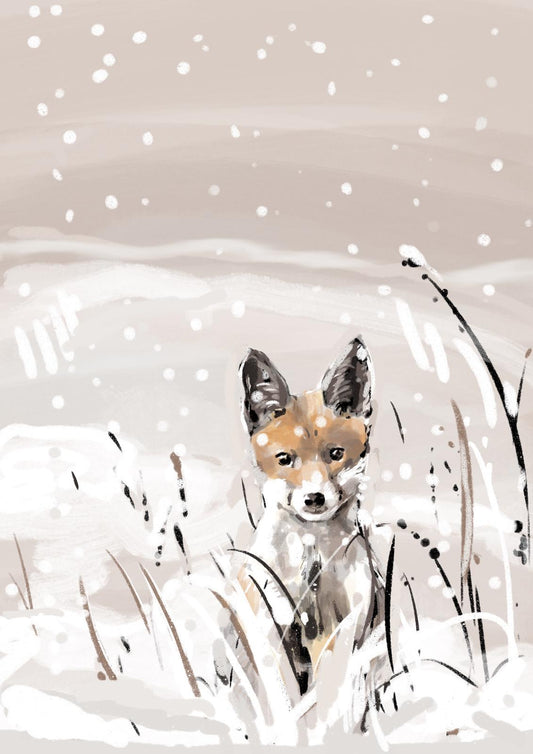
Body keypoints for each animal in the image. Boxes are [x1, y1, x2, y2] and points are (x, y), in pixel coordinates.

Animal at [237, 337, 386, 698]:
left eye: (335, 454)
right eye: (284, 459)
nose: (314, 498)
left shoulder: (348, 624)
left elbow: (330, 687)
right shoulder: (273, 620)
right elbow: (284, 693)